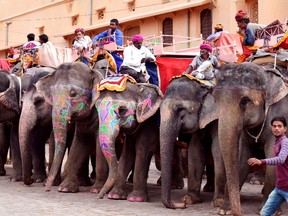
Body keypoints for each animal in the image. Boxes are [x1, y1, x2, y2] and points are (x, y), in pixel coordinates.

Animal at [159, 74, 224, 209]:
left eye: (180, 109)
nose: (180, 205)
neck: (204, 86)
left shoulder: (219, 116)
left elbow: (218, 148)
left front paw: (218, 202)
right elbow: (195, 150)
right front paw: (189, 200)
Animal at [208, 61, 288, 215]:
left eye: (245, 101)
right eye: (215, 99)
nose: (241, 212)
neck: (265, 72)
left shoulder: (281, 115)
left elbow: (273, 157)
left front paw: (269, 210)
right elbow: (242, 158)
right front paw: (225, 210)